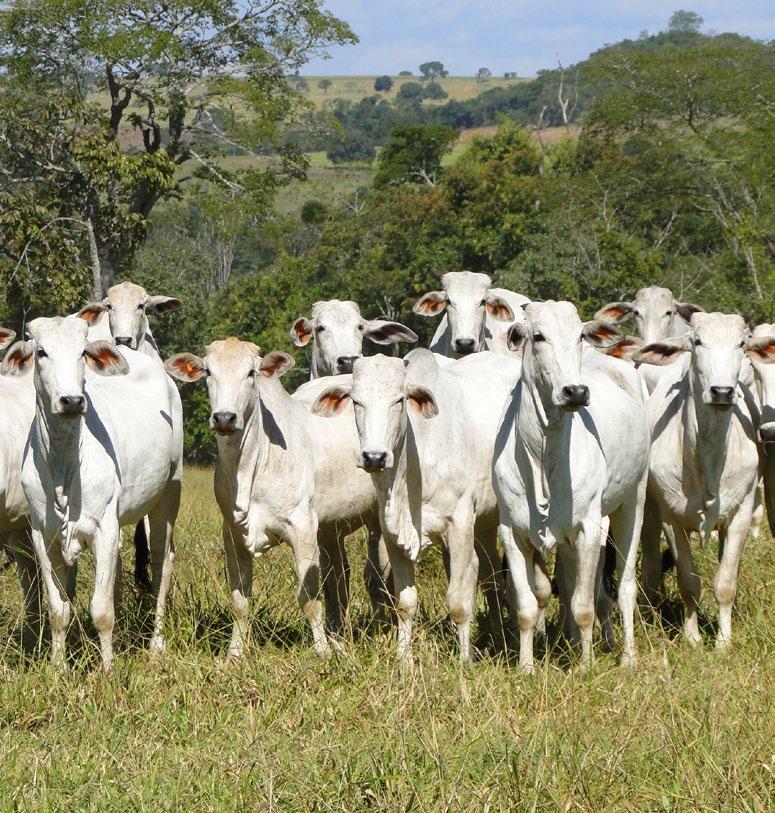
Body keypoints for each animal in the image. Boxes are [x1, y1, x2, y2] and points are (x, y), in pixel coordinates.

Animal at [5, 314, 183, 668]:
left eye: (82, 353)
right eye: (41, 352)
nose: (72, 401)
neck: (64, 461)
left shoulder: (104, 529)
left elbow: (101, 610)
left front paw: (109, 668)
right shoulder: (42, 536)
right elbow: (58, 609)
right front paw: (58, 668)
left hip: (169, 494)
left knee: (161, 566)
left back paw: (156, 643)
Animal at [167, 340, 378, 656]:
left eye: (251, 372)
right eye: (208, 371)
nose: (225, 417)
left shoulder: (302, 528)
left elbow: (309, 598)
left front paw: (322, 652)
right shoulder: (233, 534)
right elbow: (240, 601)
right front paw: (235, 654)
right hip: (331, 529)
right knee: (339, 577)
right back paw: (339, 637)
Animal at [310, 350, 520, 668]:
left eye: (399, 400)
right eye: (357, 401)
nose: (374, 457)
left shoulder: (459, 525)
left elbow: (458, 601)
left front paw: (464, 661)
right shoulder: (392, 535)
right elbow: (405, 603)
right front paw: (404, 660)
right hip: (485, 522)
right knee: (492, 576)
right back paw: (497, 636)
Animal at [494, 302, 652, 668]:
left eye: (580, 335)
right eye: (538, 336)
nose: (576, 391)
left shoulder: (590, 528)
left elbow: (584, 606)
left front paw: (585, 666)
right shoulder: (512, 532)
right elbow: (528, 606)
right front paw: (526, 667)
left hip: (632, 503)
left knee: (623, 586)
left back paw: (628, 657)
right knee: (569, 585)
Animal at [632, 310, 772, 648]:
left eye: (742, 343)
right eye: (697, 341)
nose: (722, 392)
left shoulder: (741, 514)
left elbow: (725, 582)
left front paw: (723, 642)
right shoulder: (670, 517)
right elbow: (688, 579)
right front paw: (693, 637)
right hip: (649, 512)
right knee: (652, 563)